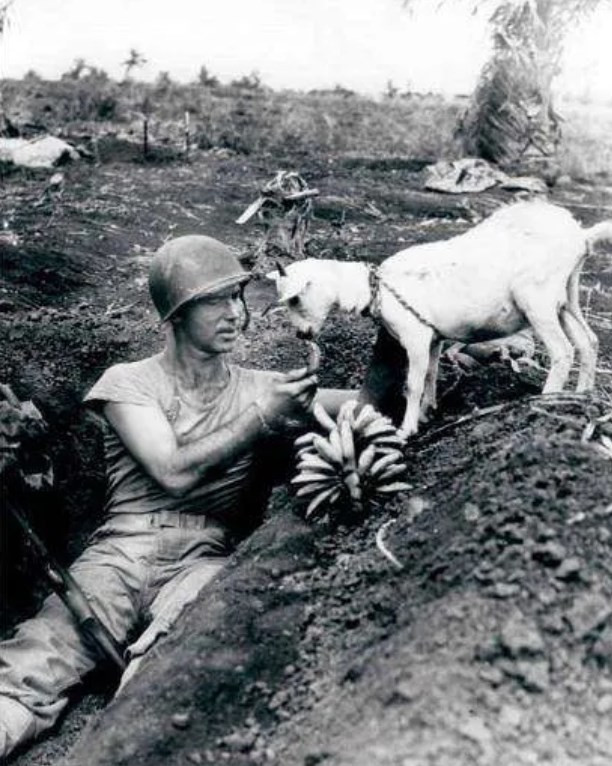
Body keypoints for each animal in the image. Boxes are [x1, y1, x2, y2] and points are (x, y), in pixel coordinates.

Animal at [268, 198, 612, 438]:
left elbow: (413, 383)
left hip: (537, 298)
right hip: (565, 297)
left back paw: (545, 401)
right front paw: (426, 413)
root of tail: (580, 235)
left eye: (295, 299)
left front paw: (406, 428)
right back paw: (581, 396)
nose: (301, 336)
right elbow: (431, 375)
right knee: (589, 341)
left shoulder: (416, 337)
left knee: (563, 350)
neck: (375, 288)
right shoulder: (433, 338)